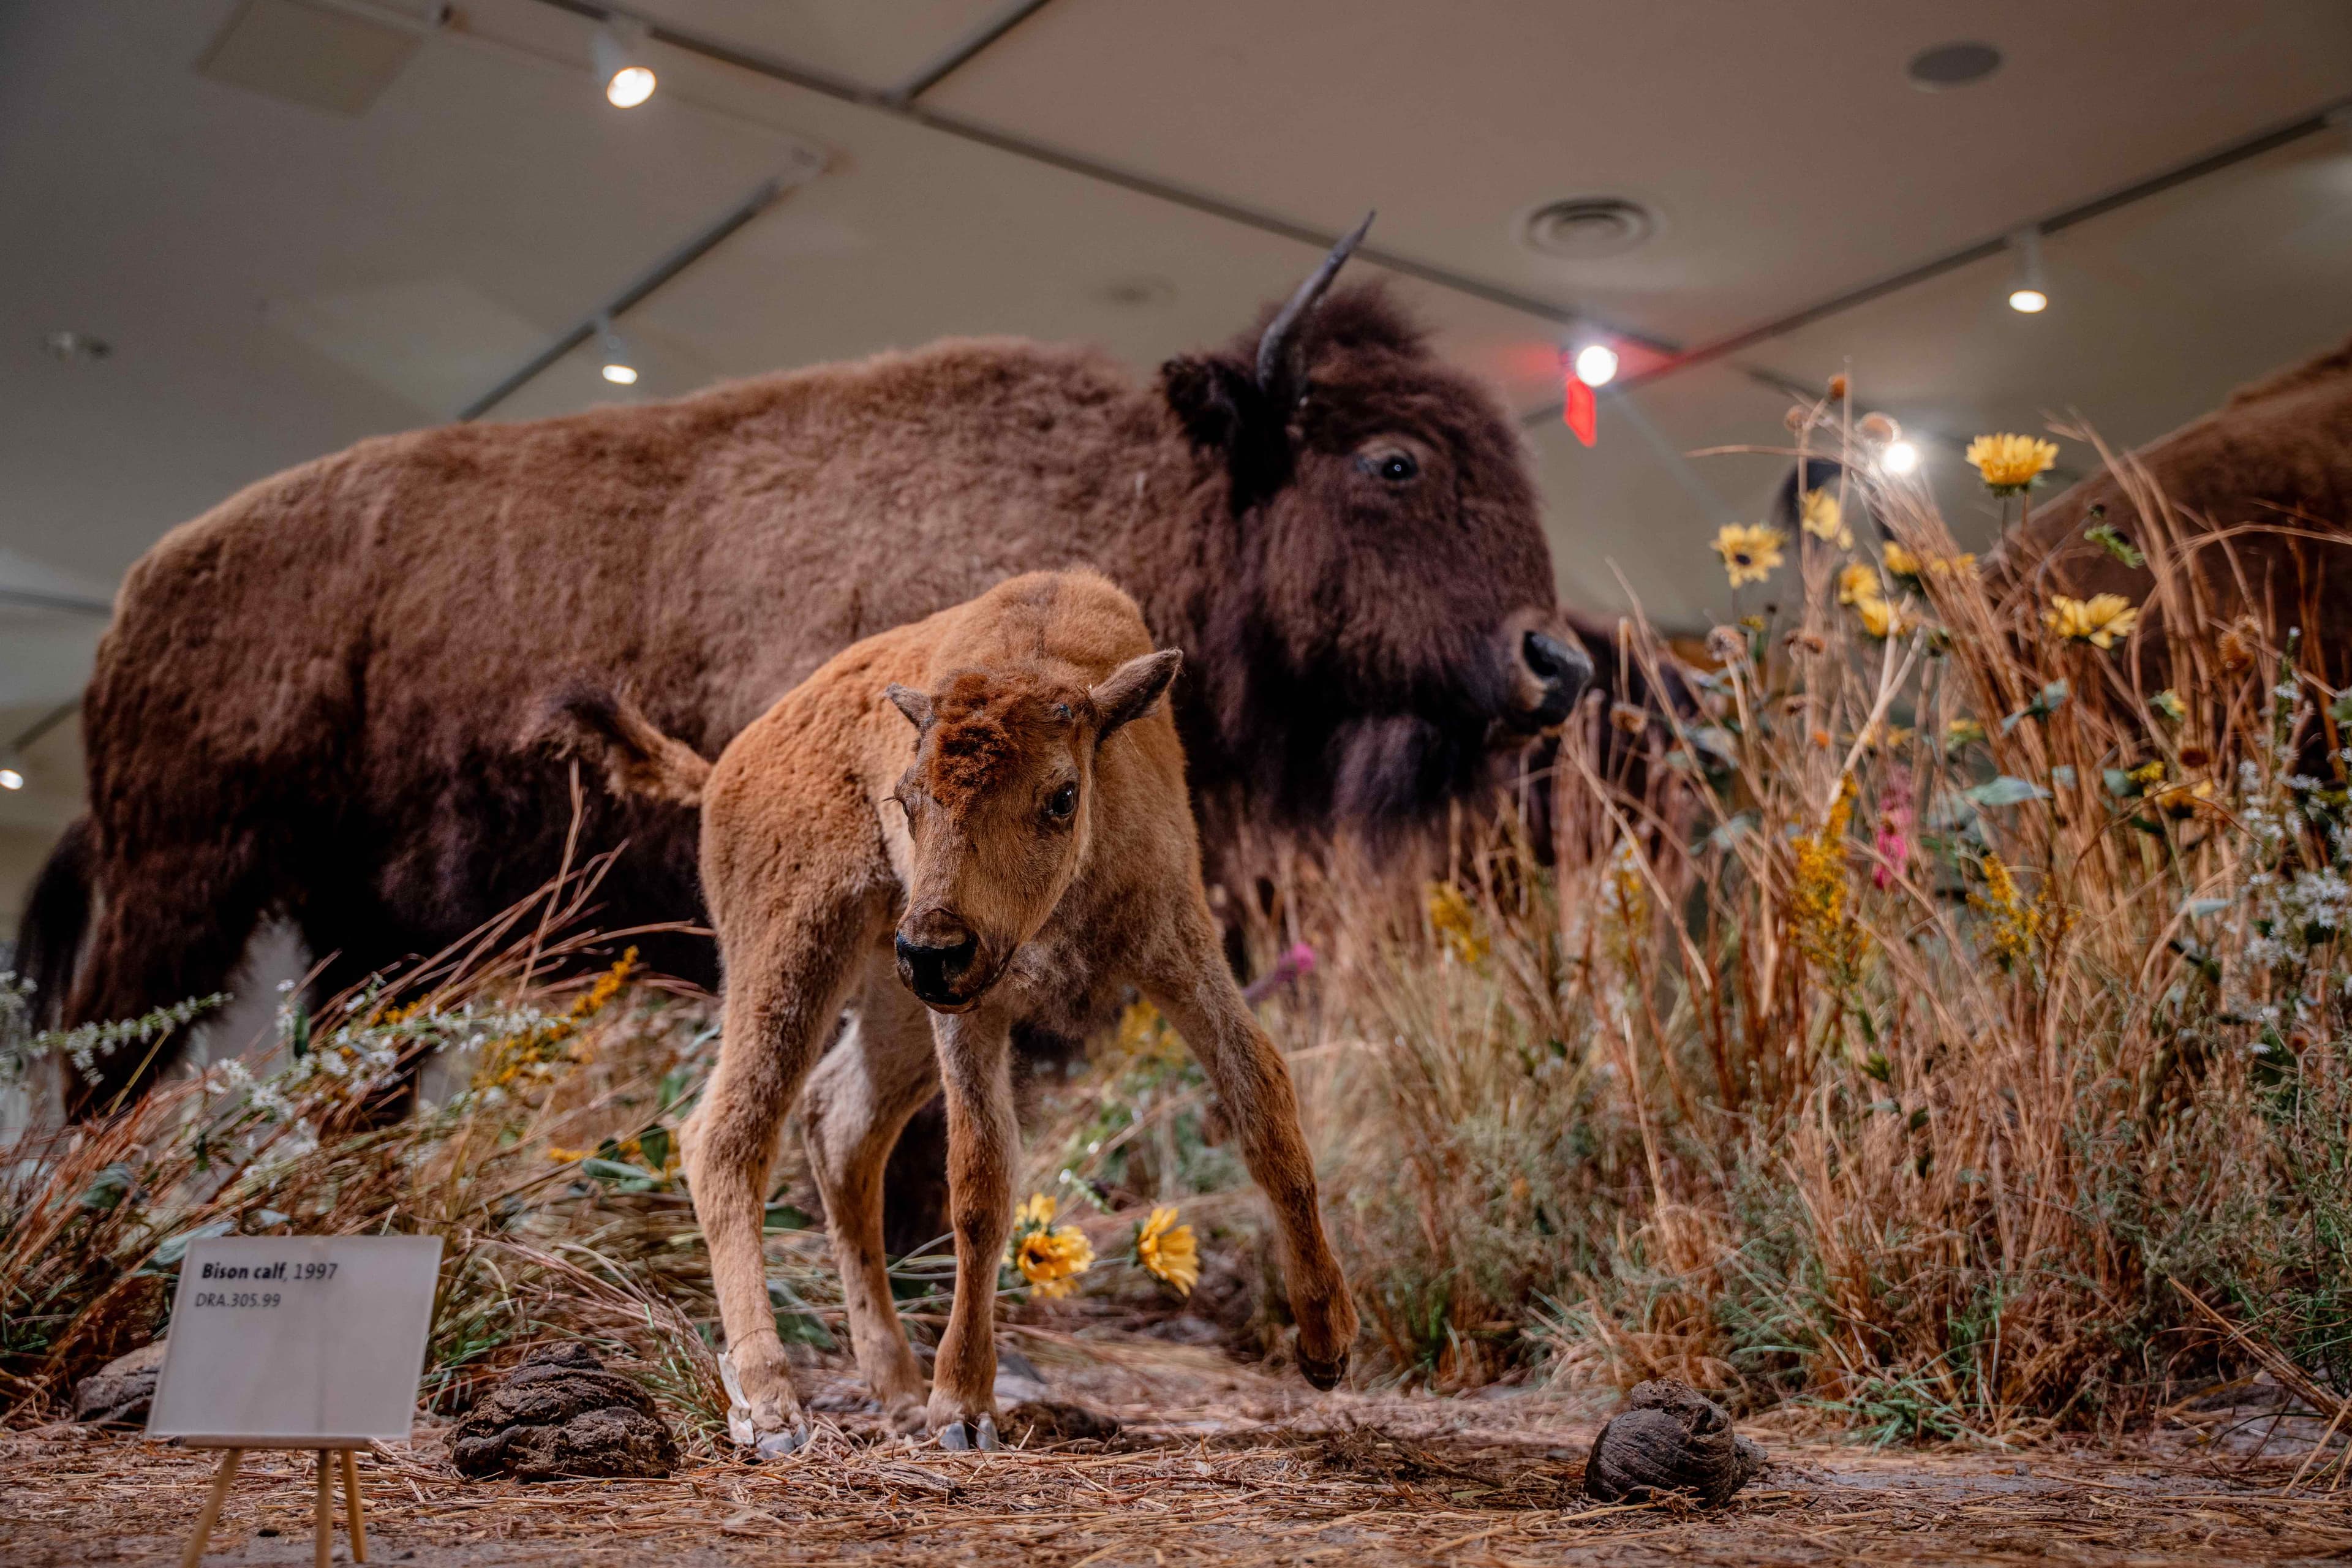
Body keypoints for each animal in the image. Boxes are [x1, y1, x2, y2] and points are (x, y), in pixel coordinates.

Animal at [22, 225, 1593, 1122]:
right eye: (1392, 459)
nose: (1558, 659)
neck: (1155, 499)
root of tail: (149, 583)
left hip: (377, 936)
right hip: (184, 885)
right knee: (104, 1069)